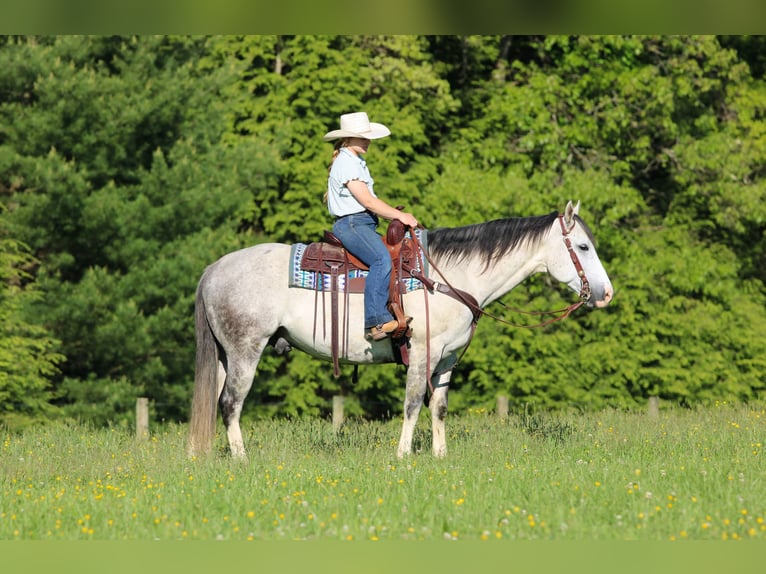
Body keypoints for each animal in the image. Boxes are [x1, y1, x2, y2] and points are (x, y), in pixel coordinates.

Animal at [187, 201, 613, 459]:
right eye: (583, 247)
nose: (606, 293)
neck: (449, 277)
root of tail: (214, 268)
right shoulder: (424, 351)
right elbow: (411, 404)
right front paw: (404, 455)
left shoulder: (448, 358)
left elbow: (439, 407)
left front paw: (441, 456)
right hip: (246, 350)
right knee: (231, 403)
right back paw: (241, 459)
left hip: (226, 355)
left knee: (214, 402)